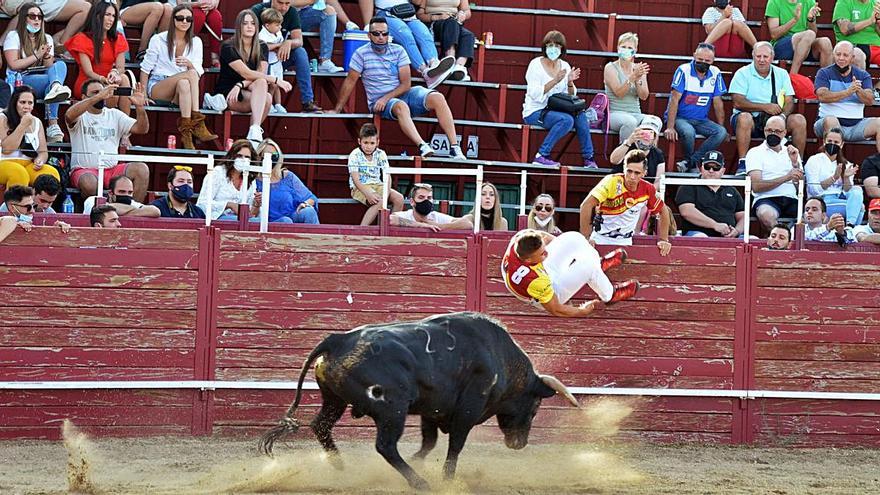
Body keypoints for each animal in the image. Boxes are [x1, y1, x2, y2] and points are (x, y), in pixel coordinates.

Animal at [258, 312, 580, 490]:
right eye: (535, 407)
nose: (519, 444)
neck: (500, 358)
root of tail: (338, 339)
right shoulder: (467, 409)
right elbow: (454, 445)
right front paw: (447, 479)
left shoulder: (432, 409)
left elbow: (429, 442)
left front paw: (421, 462)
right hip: (392, 409)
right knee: (385, 446)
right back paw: (418, 483)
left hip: (334, 399)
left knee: (321, 425)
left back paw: (339, 465)